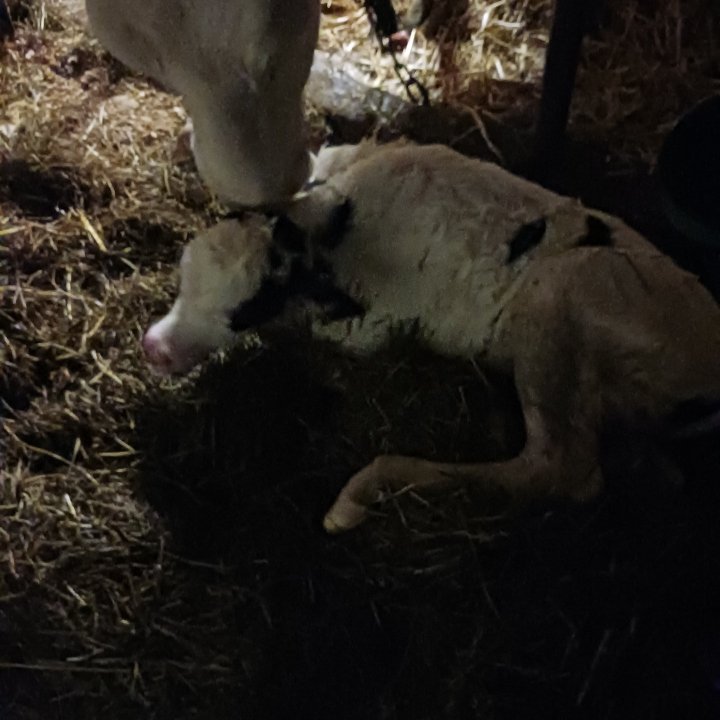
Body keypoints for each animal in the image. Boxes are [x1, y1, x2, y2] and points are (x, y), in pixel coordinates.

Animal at [143, 142, 720, 533]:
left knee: (563, 466)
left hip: (559, 302)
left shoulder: (372, 326)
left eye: (248, 308)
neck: (339, 223)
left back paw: (359, 494)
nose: (157, 350)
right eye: (185, 271)